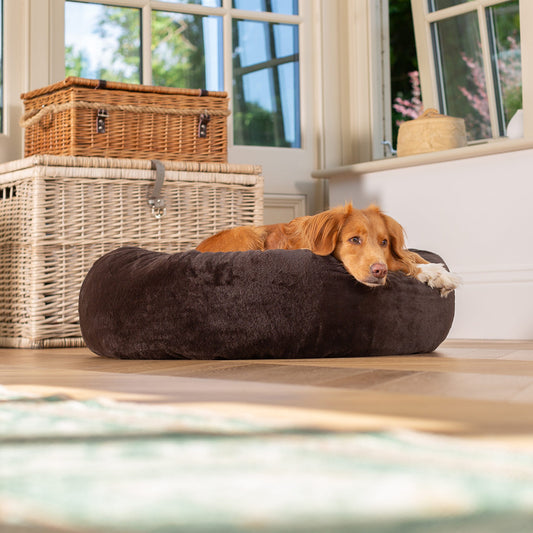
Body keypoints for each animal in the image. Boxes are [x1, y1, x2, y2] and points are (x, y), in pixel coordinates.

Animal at [197, 203, 460, 298]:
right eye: (354, 239)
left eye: (384, 242)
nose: (379, 271)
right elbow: (402, 262)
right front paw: (433, 273)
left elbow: (407, 255)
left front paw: (437, 270)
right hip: (247, 233)